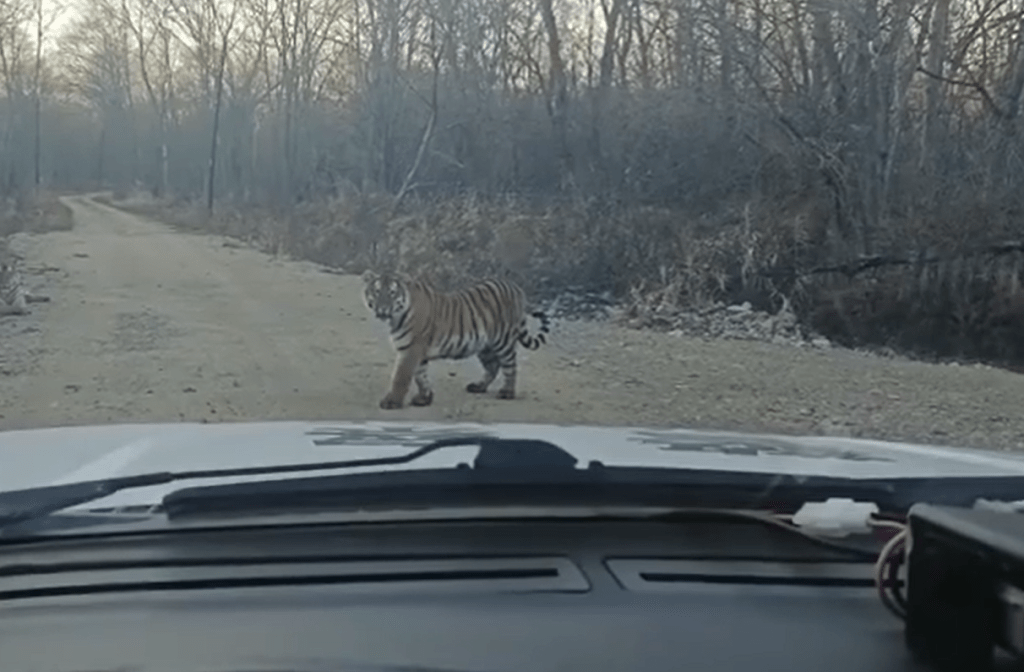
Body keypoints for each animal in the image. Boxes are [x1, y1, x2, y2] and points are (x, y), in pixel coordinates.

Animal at [362, 268, 552, 409]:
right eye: (376, 292)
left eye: (392, 293)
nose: (382, 309)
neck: (396, 317)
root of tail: (515, 287)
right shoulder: (416, 352)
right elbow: (420, 376)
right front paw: (425, 398)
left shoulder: (411, 350)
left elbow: (401, 377)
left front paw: (391, 401)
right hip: (485, 346)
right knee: (493, 366)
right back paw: (479, 387)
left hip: (503, 341)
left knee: (510, 366)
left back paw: (507, 392)